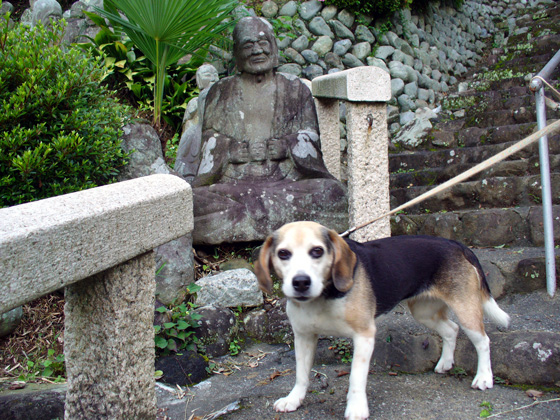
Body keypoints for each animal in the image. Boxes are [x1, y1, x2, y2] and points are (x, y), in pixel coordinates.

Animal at [256, 221, 510, 418]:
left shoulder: (364, 336)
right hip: (424, 311)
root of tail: (456, 245)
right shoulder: (304, 337)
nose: (301, 282)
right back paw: (445, 363)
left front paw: (357, 409)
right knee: (451, 329)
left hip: (466, 310)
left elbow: (356, 378)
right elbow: (301, 375)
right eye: (283, 253)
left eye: (317, 251)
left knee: (483, 341)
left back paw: (484, 378)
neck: (324, 295)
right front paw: (293, 399)